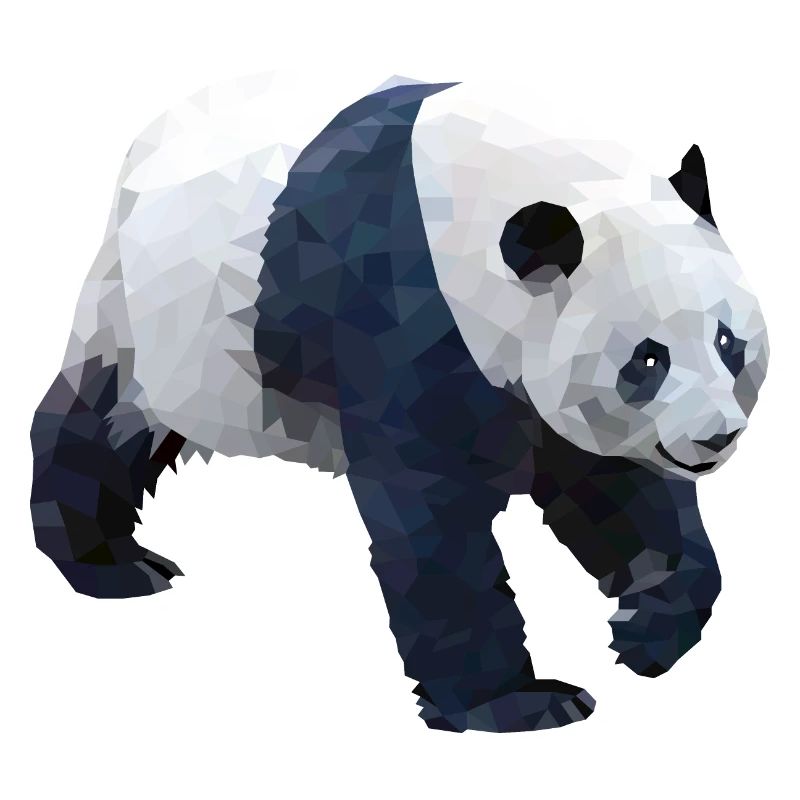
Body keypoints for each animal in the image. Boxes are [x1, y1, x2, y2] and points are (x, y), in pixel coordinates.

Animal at [30, 73, 769, 733]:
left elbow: (620, 494)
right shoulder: (402, 313)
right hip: (151, 315)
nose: (715, 438)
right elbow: (431, 513)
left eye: (728, 342)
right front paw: (516, 704)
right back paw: (111, 564)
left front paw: (645, 635)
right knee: (104, 416)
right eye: (647, 359)